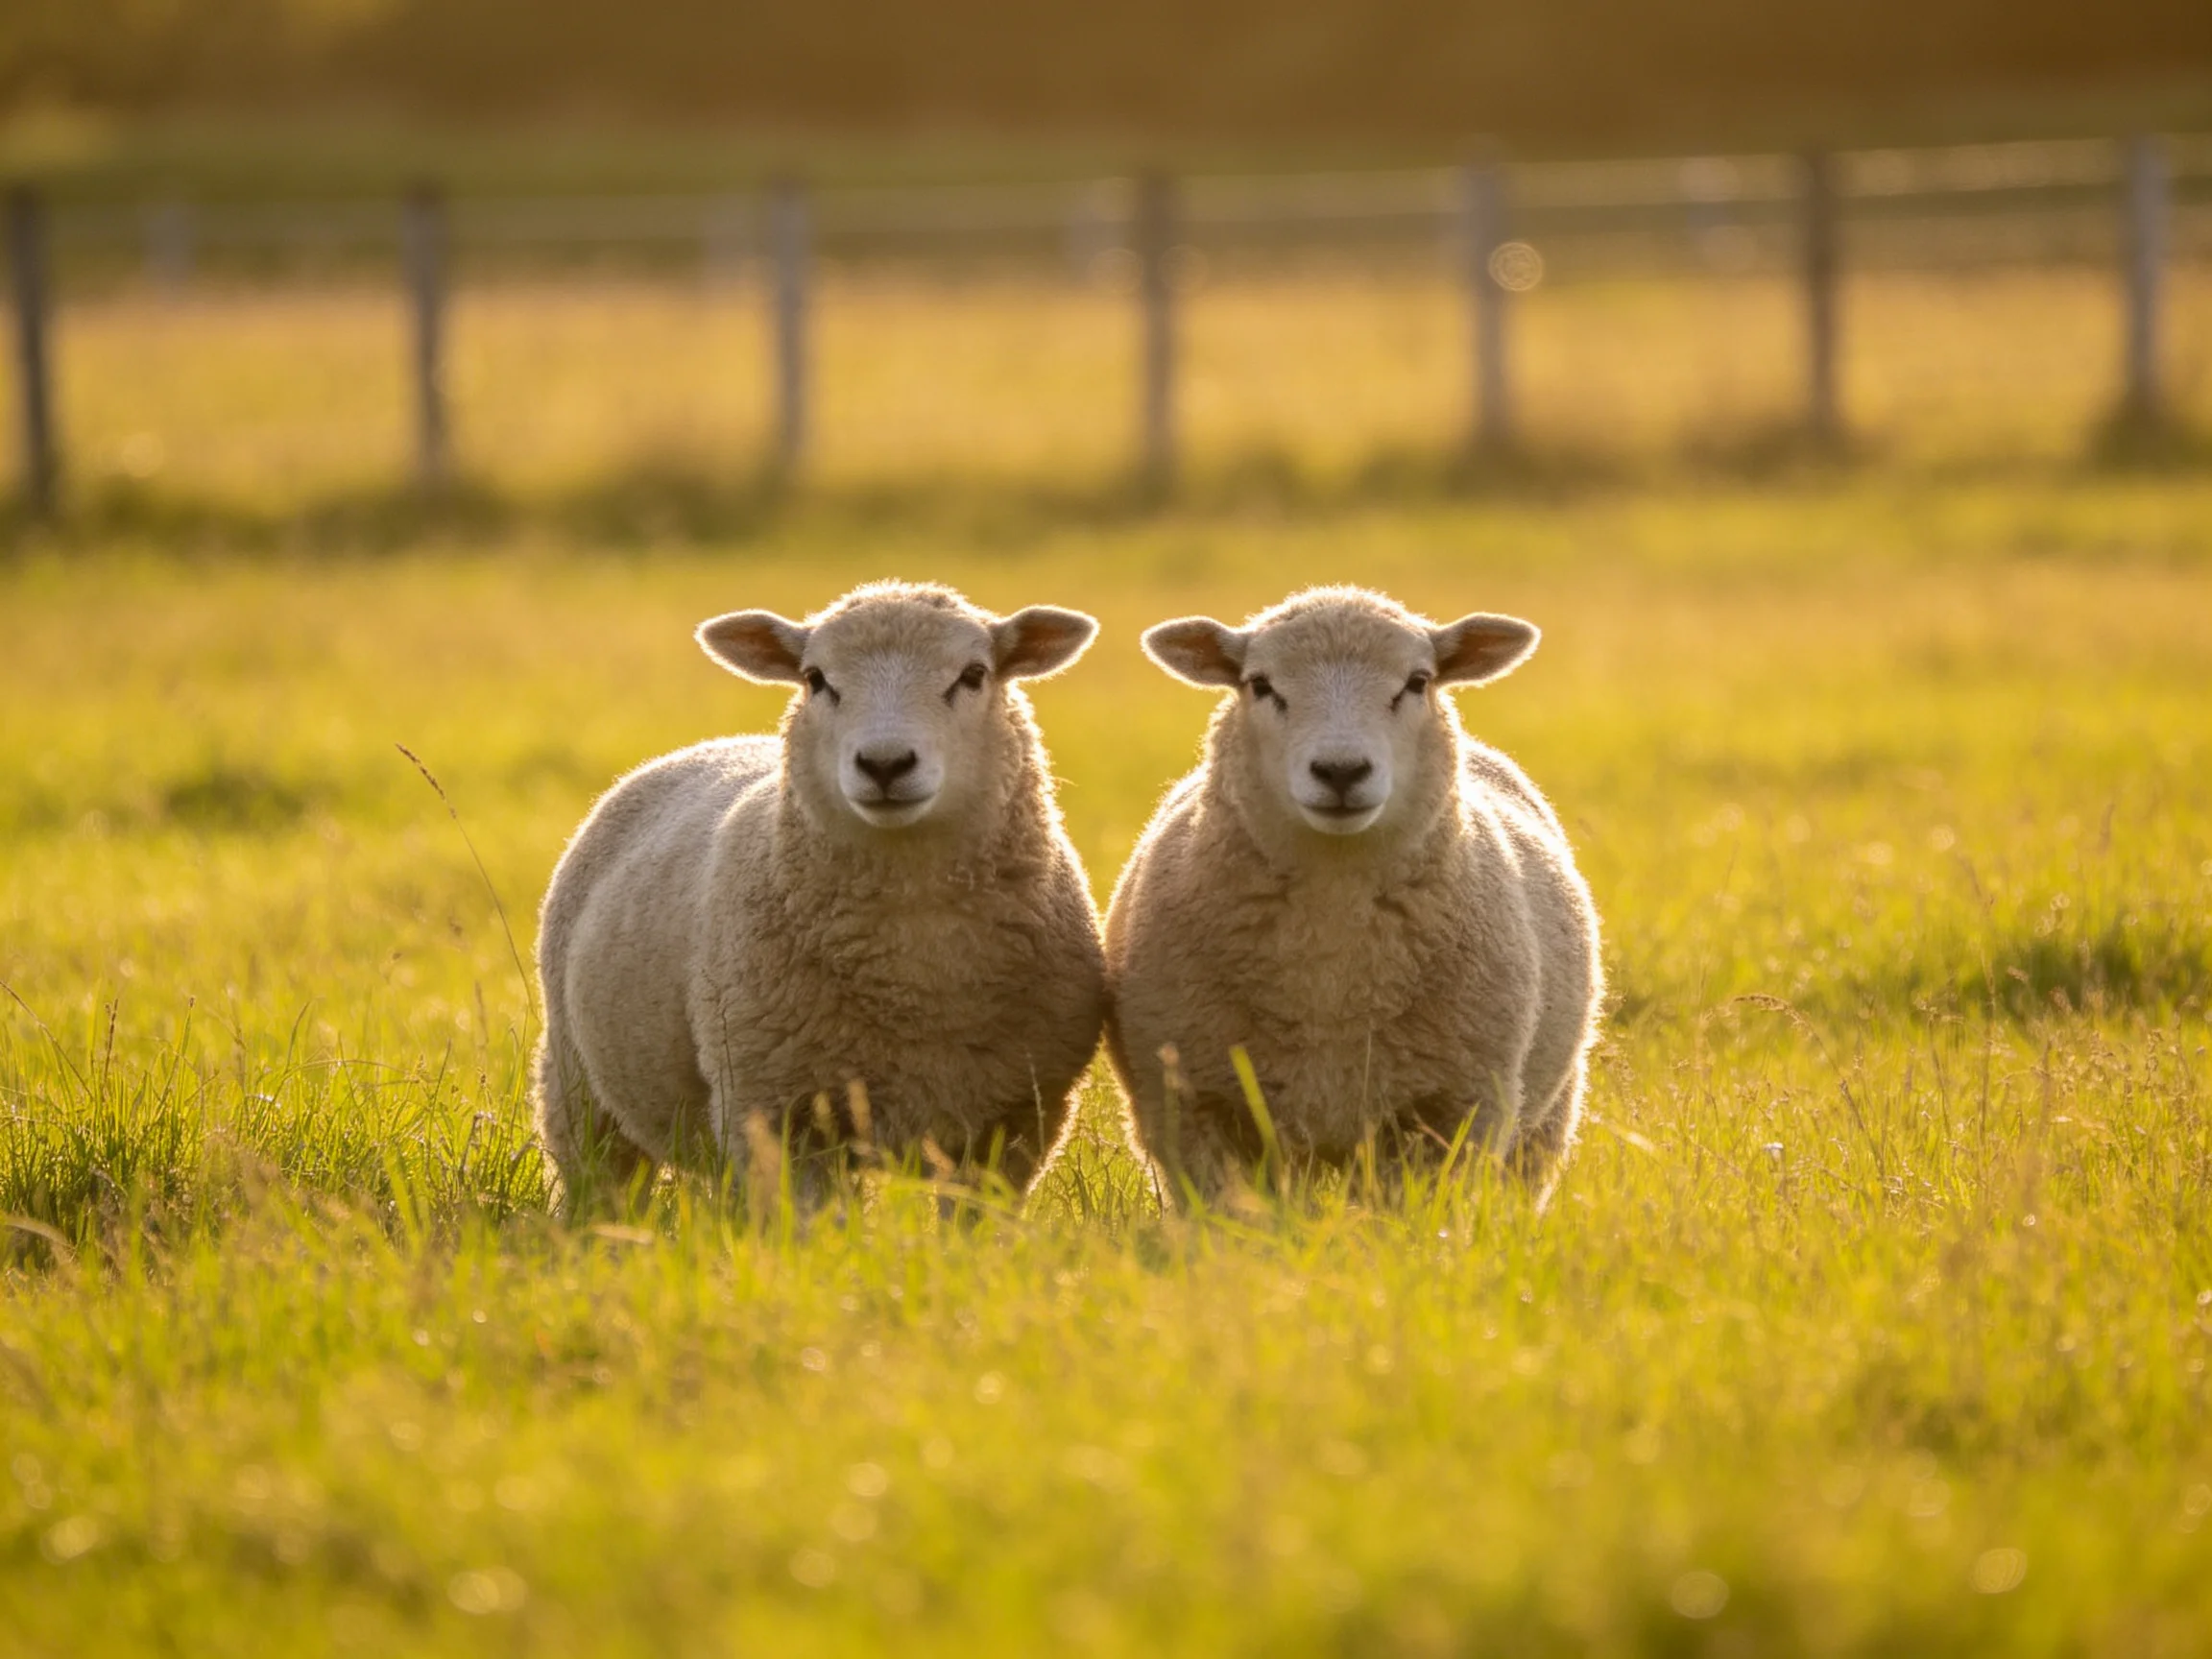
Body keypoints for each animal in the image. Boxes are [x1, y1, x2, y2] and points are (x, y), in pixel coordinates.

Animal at [533, 580, 1106, 1214]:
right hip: (578, 1086)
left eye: (974, 674)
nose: (885, 764)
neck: (915, 974)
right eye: (816, 679)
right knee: (602, 1184)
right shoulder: (776, 1112)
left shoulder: (1017, 1122)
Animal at [1102, 585, 1602, 1207]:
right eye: (1259, 684)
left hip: (1547, 1114)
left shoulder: (1458, 1108)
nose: (1340, 771)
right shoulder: (1191, 1103)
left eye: (1417, 681)